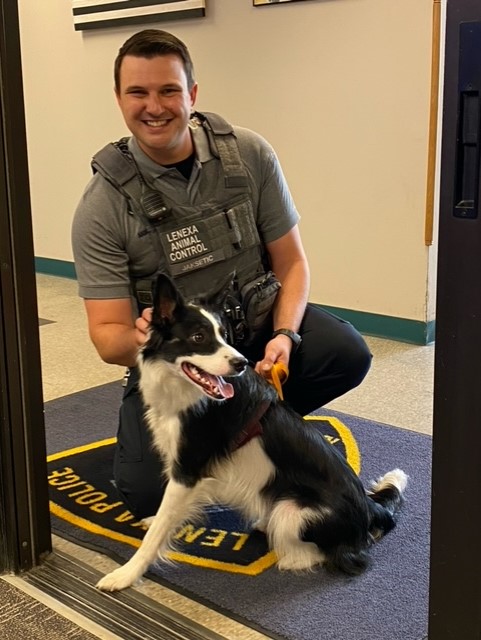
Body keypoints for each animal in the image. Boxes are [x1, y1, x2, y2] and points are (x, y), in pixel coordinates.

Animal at [96, 272, 404, 592]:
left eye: (224, 334)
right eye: (199, 337)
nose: (241, 363)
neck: (184, 390)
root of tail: (369, 508)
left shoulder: (187, 470)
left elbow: (156, 534)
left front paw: (126, 573)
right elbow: (163, 518)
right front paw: (153, 520)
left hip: (291, 511)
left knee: (336, 556)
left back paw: (288, 554)